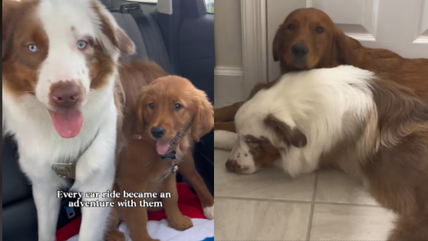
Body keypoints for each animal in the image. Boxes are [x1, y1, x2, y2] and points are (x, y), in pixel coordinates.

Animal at [107, 76, 214, 241]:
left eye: (177, 106)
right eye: (151, 105)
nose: (156, 131)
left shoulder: (169, 175)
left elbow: (172, 198)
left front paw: (177, 221)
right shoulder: (131, 180)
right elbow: (139, 215)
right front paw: (144, 239)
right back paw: (114, 235)